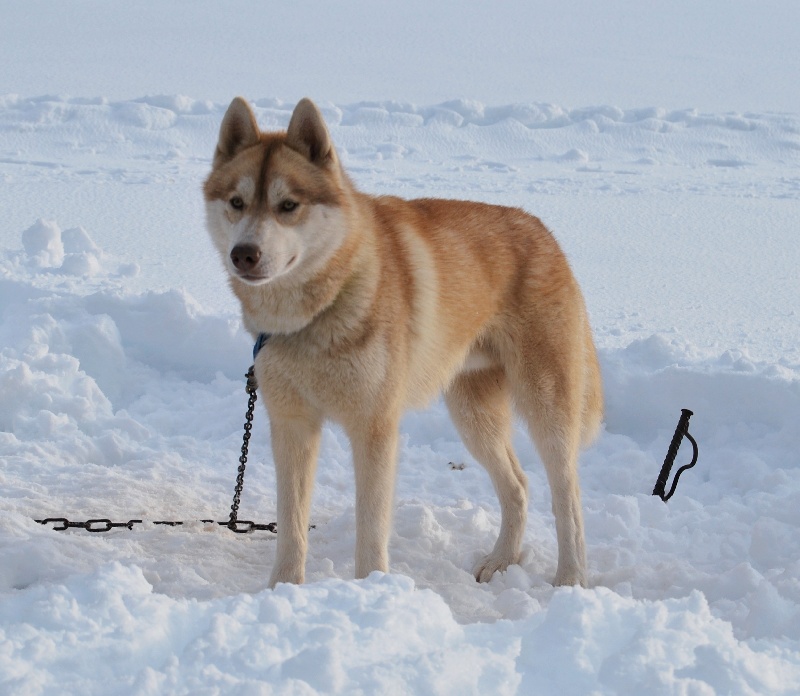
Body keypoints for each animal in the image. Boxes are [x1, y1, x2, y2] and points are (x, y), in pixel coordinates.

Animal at [203, 98, 604, 588]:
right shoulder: (292, 424)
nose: (244, 254)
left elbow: (371, 529)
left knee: (568, 496)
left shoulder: (374, 427)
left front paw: (370, 590)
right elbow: (292, 526)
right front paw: (284, 590)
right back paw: (500, 560)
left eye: (288, 205)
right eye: (236, 203)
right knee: (518, 485)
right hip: (473, 415)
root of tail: (544, 232)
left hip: (547, 407)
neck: (316, 314)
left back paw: (571, 578)